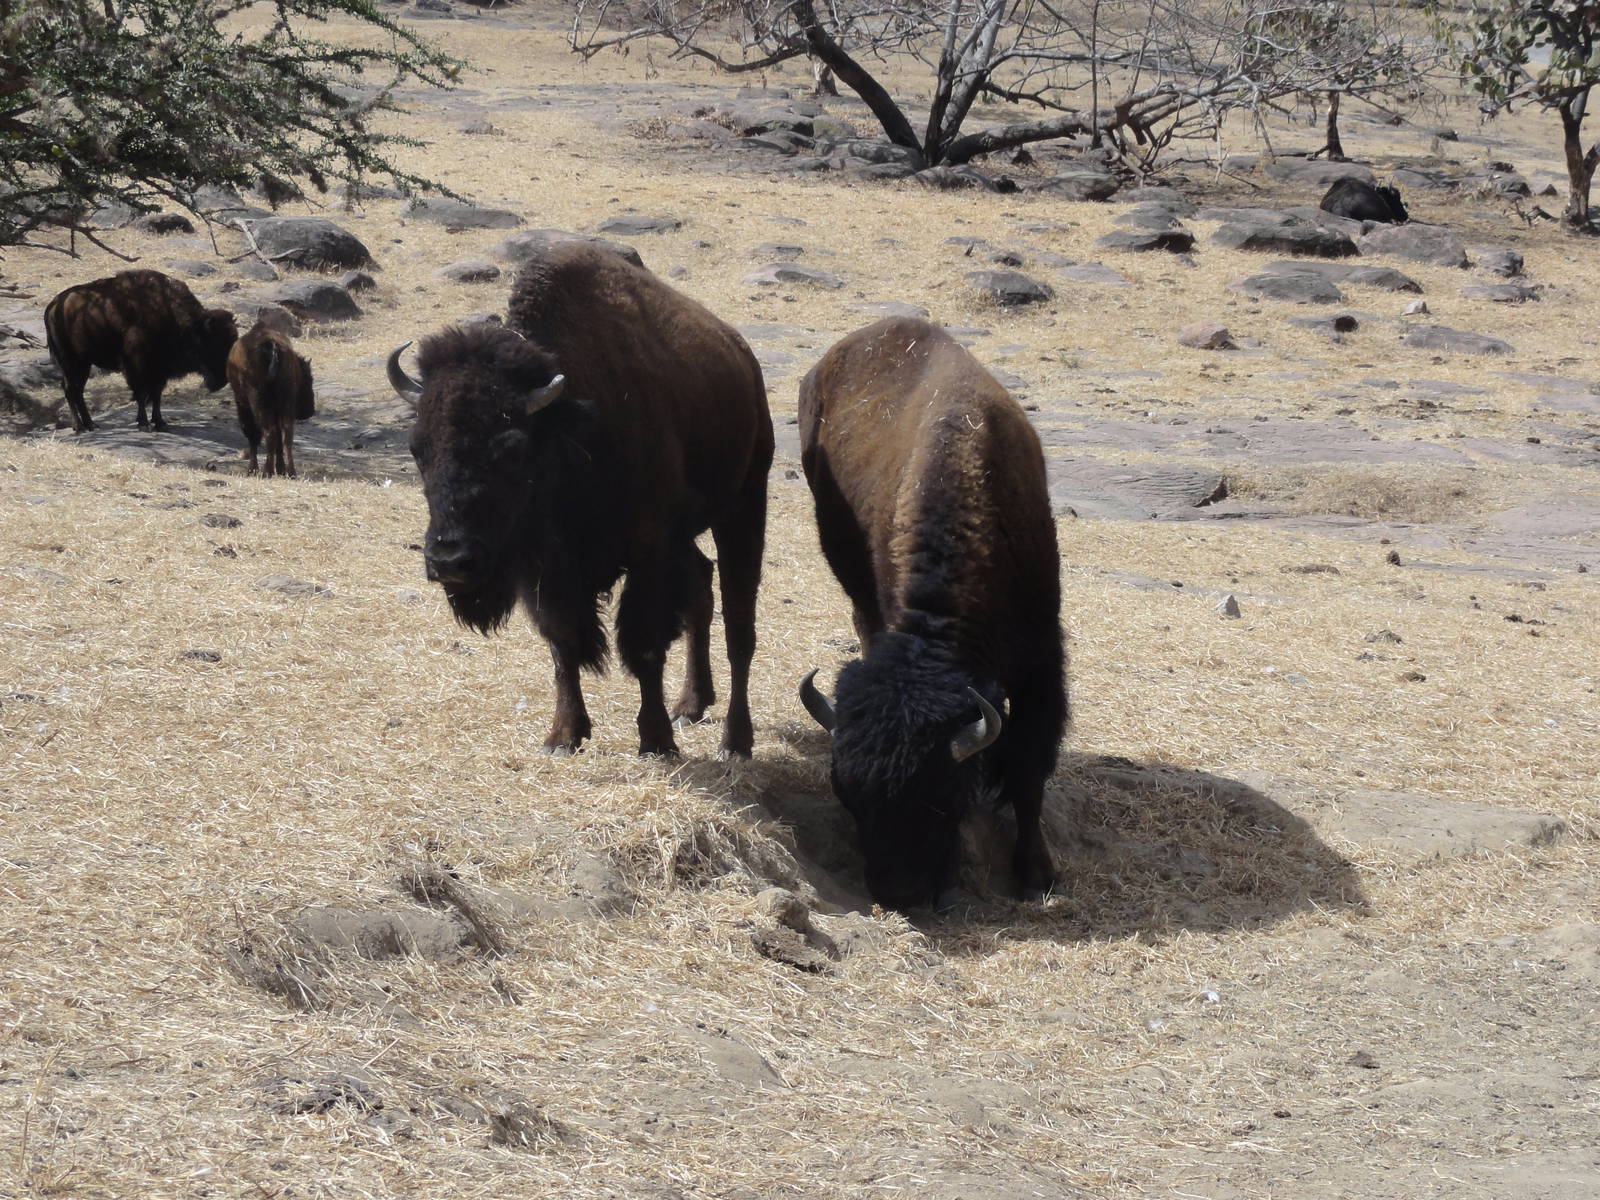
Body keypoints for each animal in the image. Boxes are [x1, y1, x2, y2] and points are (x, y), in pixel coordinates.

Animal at [43, 269, 238, 433]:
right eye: (213, 344)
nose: (222, 380)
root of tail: (53, 305)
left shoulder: (160, 371)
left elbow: (156, 395)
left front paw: (160, 423)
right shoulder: (137, 366)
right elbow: (141, 394)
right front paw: (144, 424)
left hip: (83, 363)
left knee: (78, 390)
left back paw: (91, 424)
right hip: (71, 361)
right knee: (70, 389)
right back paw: (79, 427)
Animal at [227, 322, 315, 478]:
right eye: (308, 380)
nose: (310, 411)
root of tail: (272, 346)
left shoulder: (244, 405)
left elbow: (253, 435)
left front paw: (252, 470)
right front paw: (280, 469)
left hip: (258, 402)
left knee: (269, 432)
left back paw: (266, 471)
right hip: (285, 403)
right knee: (286, 434)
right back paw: (290, 472)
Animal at [388, 242, 773, 758]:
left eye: (512, 447)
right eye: (417, 448)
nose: (450, 560)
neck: (565, 427)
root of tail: (742, 354)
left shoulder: (648, 551)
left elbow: (644, 645)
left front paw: (656, 740)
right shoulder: (545, 568)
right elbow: (563, 642)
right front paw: (564, 736)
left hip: (744, 506)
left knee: (738, 625)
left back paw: (735, 740)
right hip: (688, 534)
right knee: (701, 587)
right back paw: (691, 704)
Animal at [797, 317, 1067, 909]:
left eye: (942, 799)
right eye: (846, 796)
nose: (899, 893)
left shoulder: (1041, 661)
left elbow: (1029, 768)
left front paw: (1036, 873)